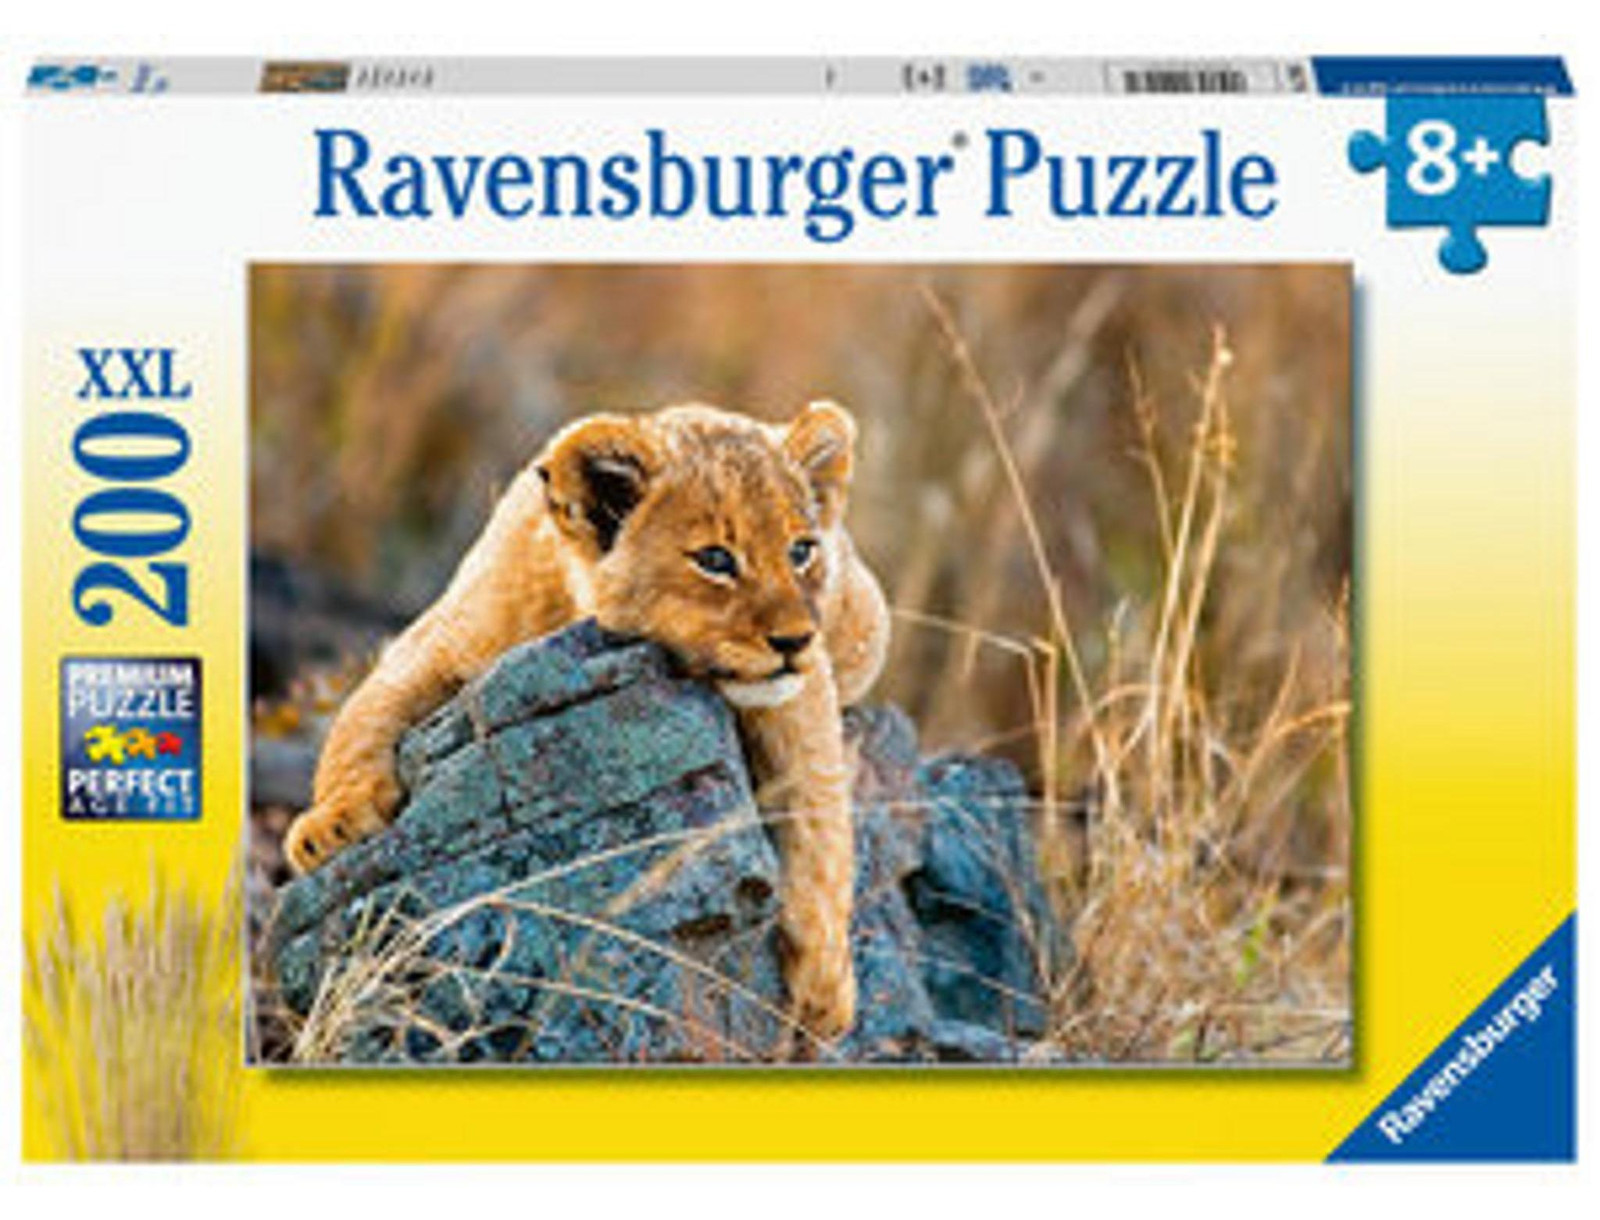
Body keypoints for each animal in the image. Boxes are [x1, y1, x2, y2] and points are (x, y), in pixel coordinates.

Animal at [283, 401, 890, 1040]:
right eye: (715, 560)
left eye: (801, 551)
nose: (796, 640)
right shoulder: (434, 643)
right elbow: (359, 719)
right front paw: (330, 827)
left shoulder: (800, 695)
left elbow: (820, 819)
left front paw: (825, 987)